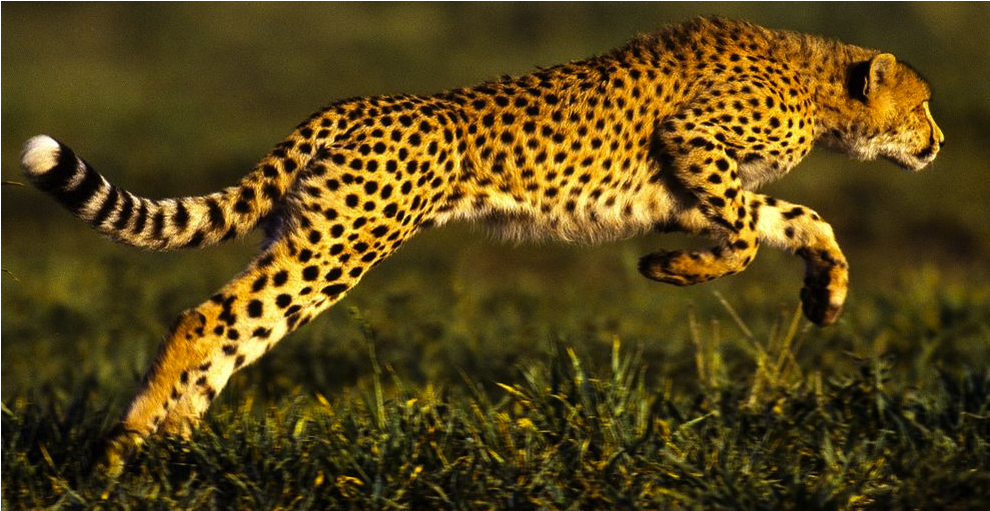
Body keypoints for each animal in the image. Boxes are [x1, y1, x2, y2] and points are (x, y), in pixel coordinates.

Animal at [20, 16, 943, 471]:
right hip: (340, 244)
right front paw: (670, 270)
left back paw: (173, 449)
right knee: (208, 319)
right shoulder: (691, 146)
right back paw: (123, 451)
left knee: (231, 330)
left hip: (312, 235)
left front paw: (825, 292)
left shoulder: (681, 190)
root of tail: (355, 103)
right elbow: (748, 233)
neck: (817, 83)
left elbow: (796, 219)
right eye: (924, 105)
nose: (936, 145)